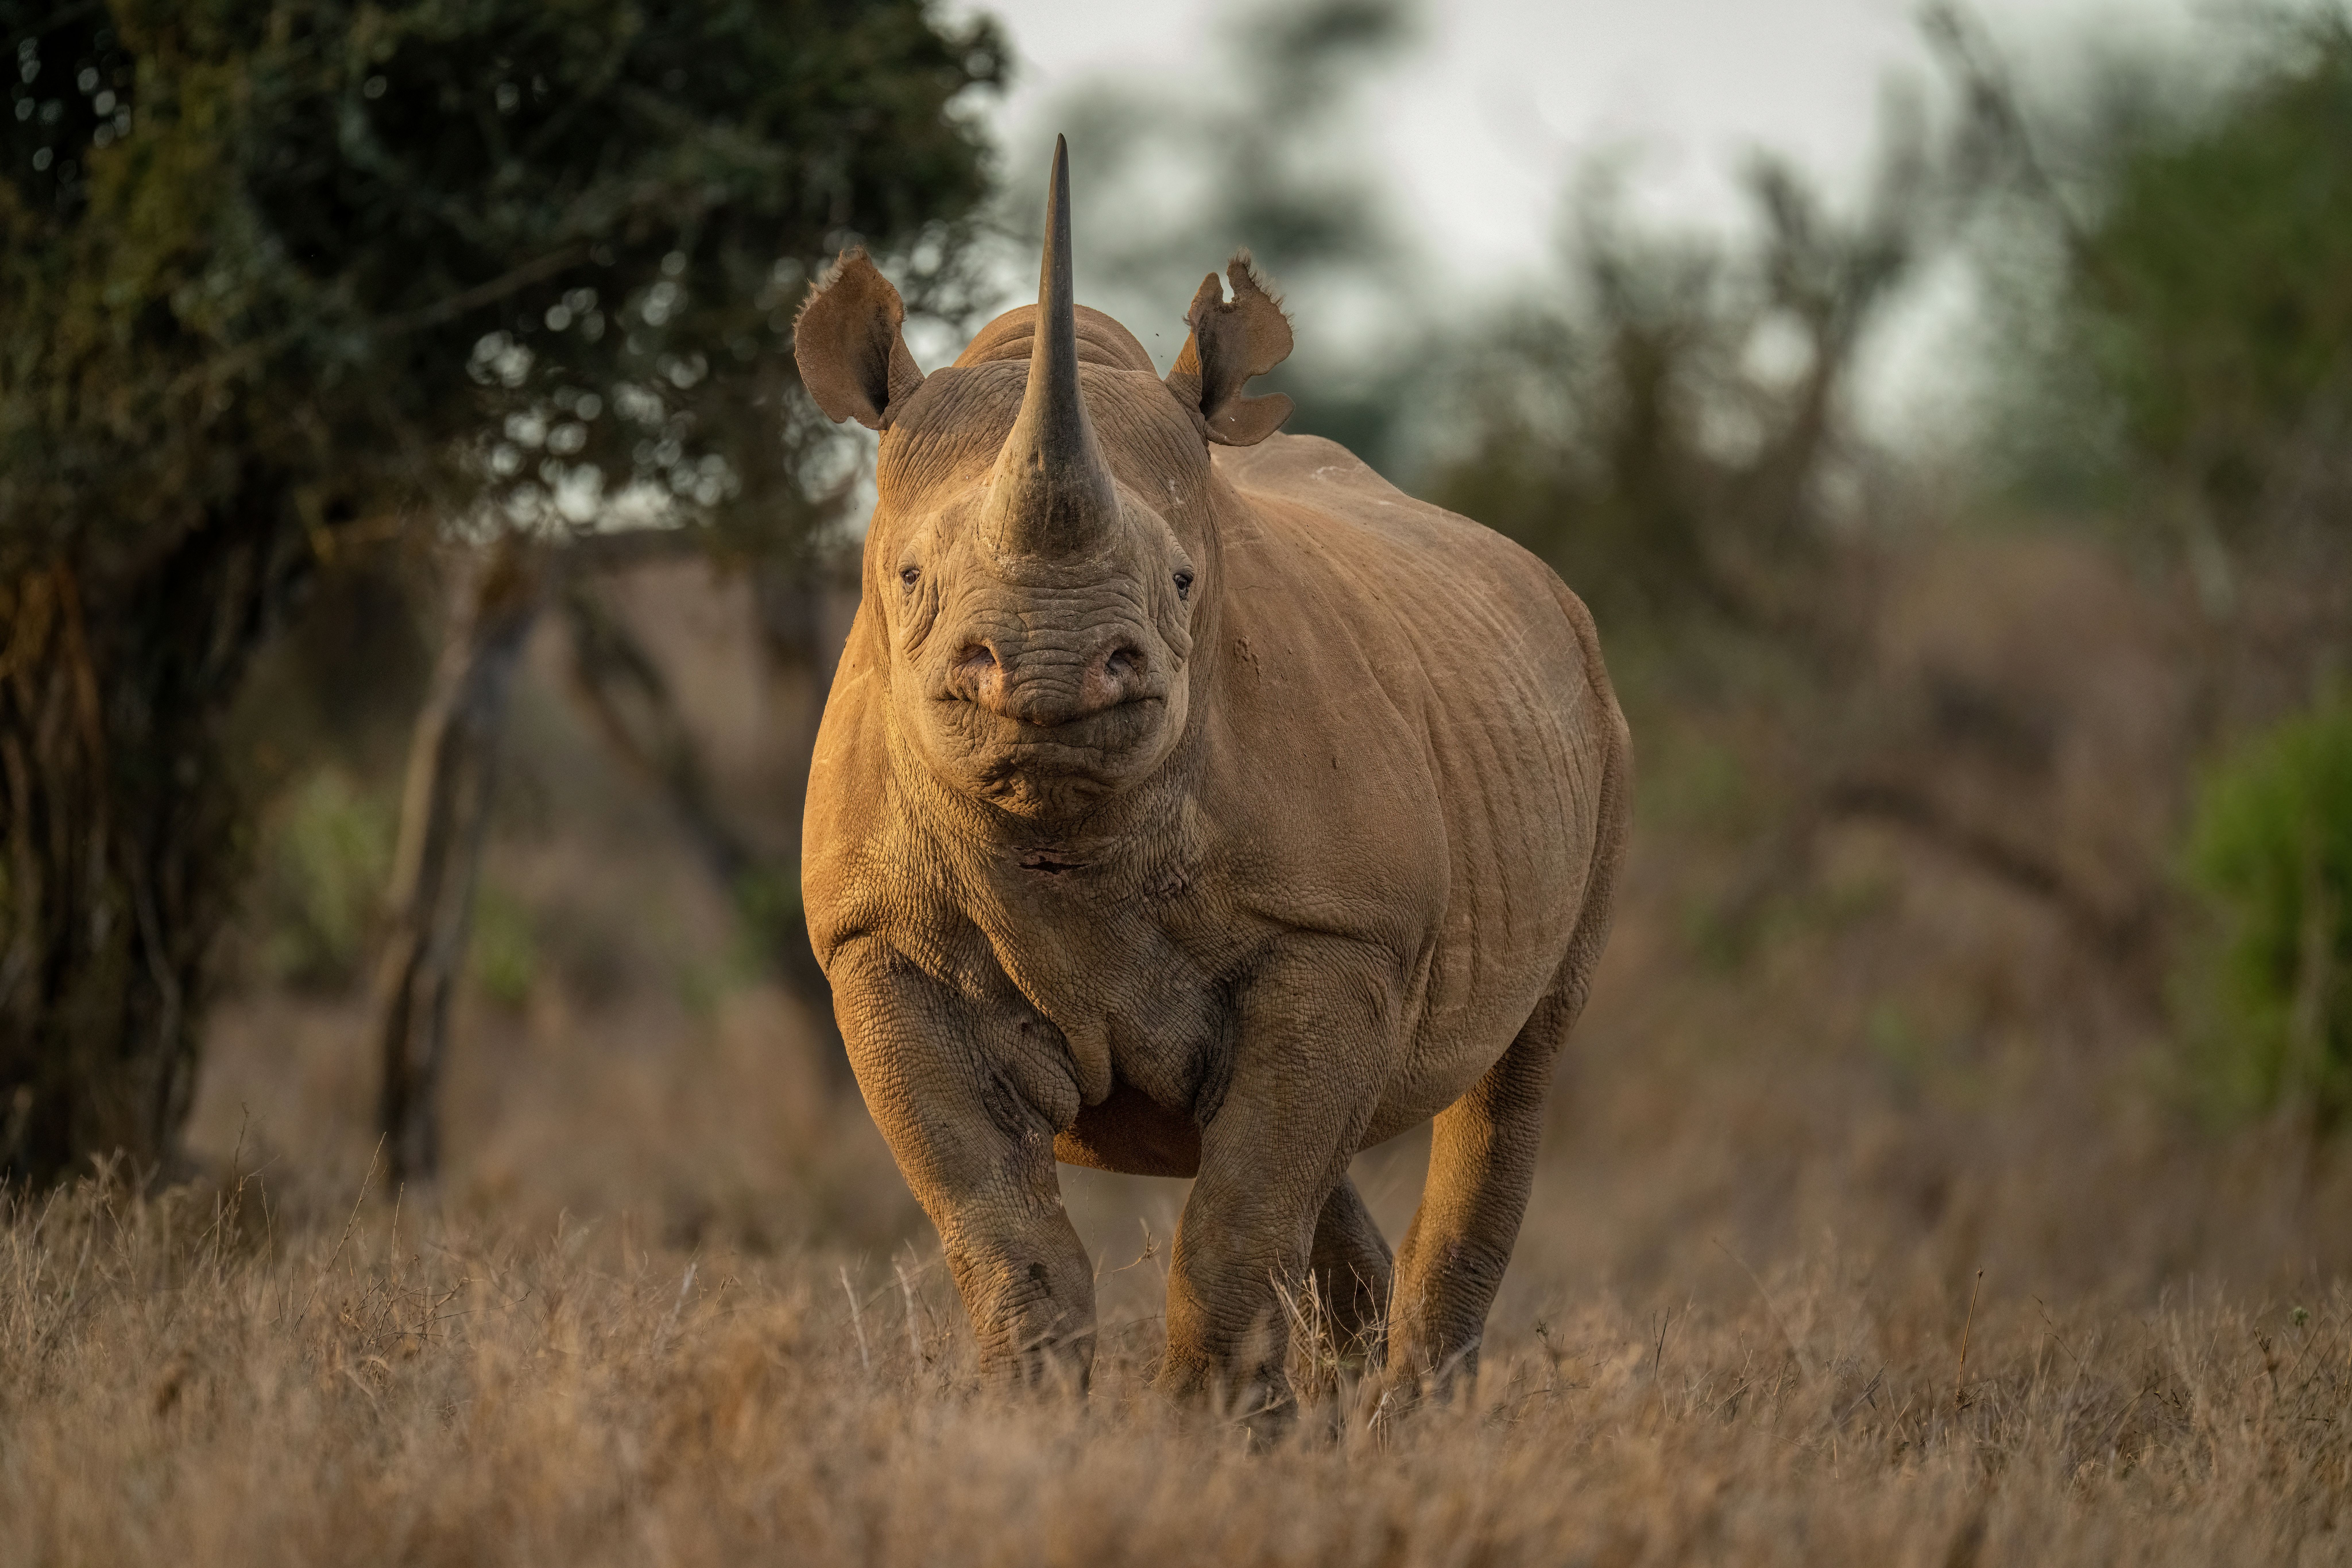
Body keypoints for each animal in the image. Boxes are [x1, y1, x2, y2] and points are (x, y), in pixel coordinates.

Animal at [792, 138, 1630, 1413]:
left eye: (1183, 581)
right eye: (909, 578)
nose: (1052, 669)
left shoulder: (1335, 933)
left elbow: (1235, 1226)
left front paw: (1208, 1434)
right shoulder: (878, 938)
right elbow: (1005, 1236)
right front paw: (1025, 1426)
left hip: (1596, 713)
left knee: (1507, 1081)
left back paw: (1411, 1423)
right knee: (1311, 1158)